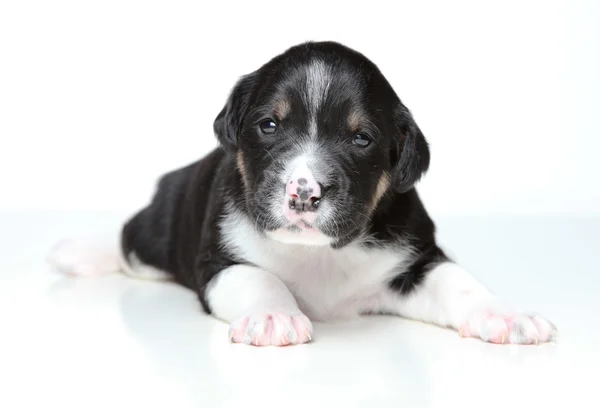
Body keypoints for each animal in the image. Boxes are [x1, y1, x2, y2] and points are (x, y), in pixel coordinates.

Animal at [48, 40, 556, 348]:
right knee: (128, 238)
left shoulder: (413, 259)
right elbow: (259, 277)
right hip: (159, 226)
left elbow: (458, 281)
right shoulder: (219, 261)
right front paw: (275, 316)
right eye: (269, 125)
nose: (305, 194)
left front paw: (508, 315)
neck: (320, 254)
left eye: (361, 138)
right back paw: (79, 252)